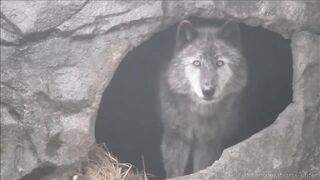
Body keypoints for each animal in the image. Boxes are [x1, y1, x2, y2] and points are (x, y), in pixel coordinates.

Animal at [158, 19, 248, 177]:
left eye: (219, 63)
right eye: (197, 63)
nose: (208, 91)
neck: (198, 114)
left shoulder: (208, 141)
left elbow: (202, 167)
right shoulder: (176, 135)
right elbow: (174, 171)